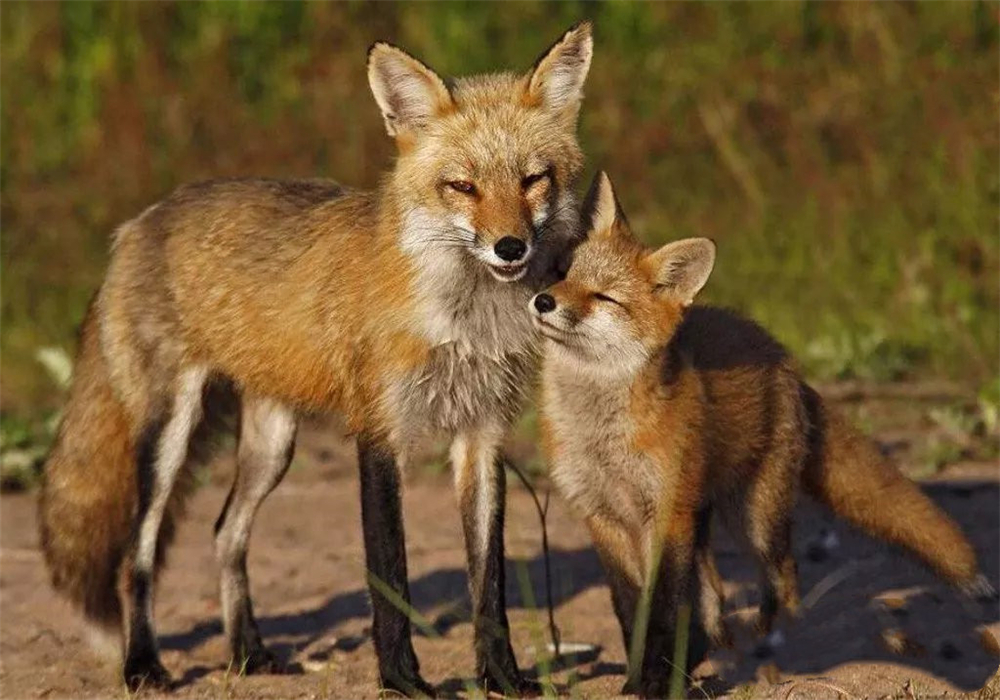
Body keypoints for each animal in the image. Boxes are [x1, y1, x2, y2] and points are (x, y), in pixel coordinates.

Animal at [41, 21, 592, 696]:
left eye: (534, 179)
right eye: (462, 186)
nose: (510, 247)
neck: (464, 318)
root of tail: (137, 223)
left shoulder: (483, 434)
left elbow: (488, 583)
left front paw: (503, 678)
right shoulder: (379, 431)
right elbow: (390, 573)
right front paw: (401, 680)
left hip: (273, 443)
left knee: (225, 533)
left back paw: (247, 654)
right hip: (169, 434)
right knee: (136, 554)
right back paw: (143, 664)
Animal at [532, 172, 992, 696]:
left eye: (604, 298)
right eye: (562, 273)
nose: (543, 301)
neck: (599, 434)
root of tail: (783, 355)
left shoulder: (665, 514)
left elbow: (664, 610)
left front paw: (656, 680)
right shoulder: (602, 515)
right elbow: (631, 610)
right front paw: (638, 677)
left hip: (754, 521)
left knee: (783, 581)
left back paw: (778, 658)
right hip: (706, 516)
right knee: (713, 592)